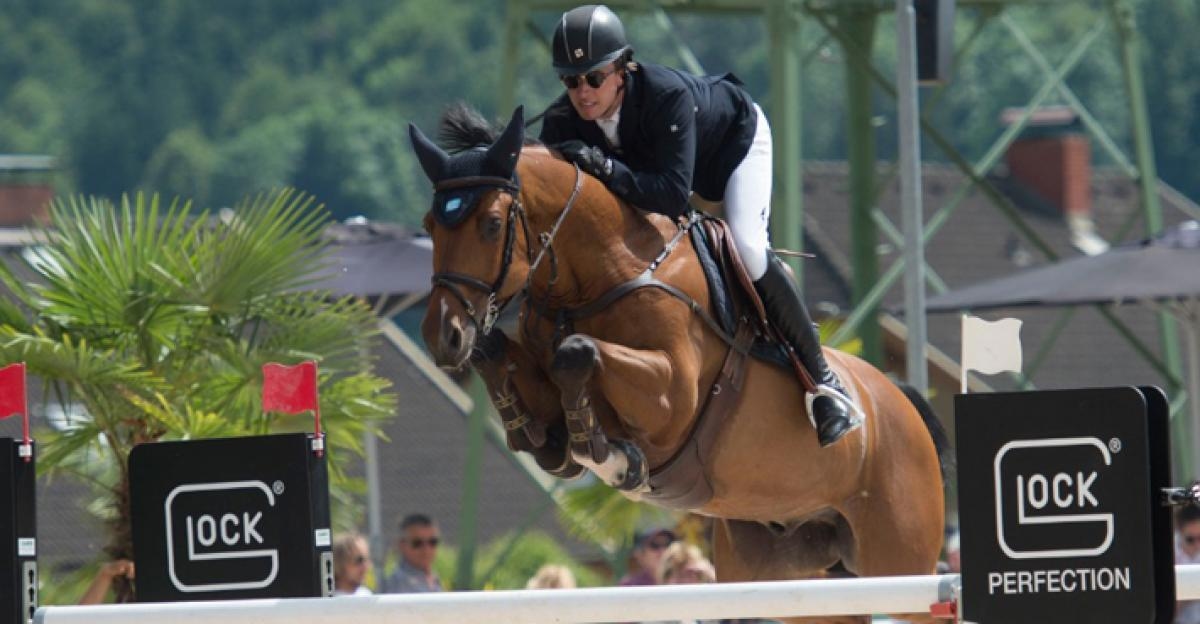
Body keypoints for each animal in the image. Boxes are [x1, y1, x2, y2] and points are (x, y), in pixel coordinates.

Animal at [412, 105, 945, 619]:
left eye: (491, 225)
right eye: (428, 226)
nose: (442, 336)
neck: (603, 275)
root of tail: (899, 399)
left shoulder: (672, 397)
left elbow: (579, 352)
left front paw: (604, 452)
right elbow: (502, 357)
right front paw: (539, 436)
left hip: (899, 562)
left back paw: (833, 408)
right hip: (795, 578)